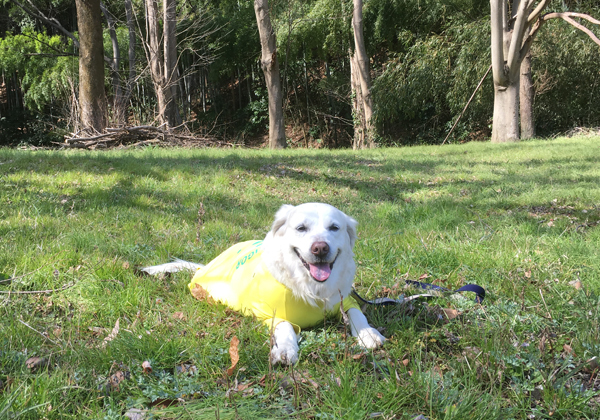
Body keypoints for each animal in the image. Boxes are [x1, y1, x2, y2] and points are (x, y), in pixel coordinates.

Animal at [142, 203, 384, 364]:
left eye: (334, 227)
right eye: (301, 228)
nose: (320, 248)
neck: (310, 288)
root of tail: (206, 266)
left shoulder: (344, 300)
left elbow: (357, 314)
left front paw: (368, 334)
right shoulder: (269, 312)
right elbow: (285, 325)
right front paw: (286, 349)